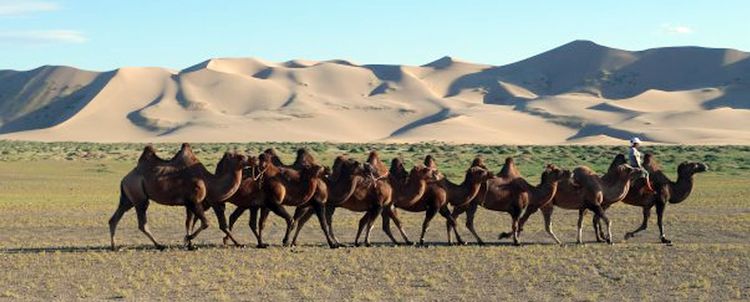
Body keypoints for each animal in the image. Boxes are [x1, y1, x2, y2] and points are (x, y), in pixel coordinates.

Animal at [108, 144, 250, 250]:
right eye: (241, 157)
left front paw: (190, 245)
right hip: (139, 196)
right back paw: (159, 245)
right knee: (142, 222)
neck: (209, 182)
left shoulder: (189, 203)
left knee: (115, 218)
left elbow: (188, 223)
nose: (253, 158)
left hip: (127, 198)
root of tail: (124, 179)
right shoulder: (194, 201)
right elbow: (205, 223)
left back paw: (114, 246)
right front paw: (188, 240)